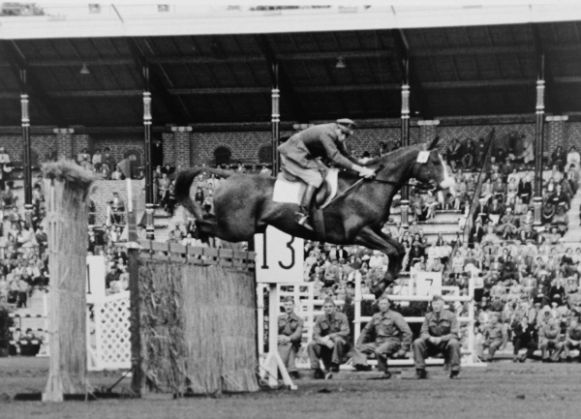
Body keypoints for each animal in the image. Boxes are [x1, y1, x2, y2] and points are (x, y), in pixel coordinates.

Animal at [174, 137, 456, 296]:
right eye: (434, 162)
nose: (450, 187)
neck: (370, 186)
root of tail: (230, 175)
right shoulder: (359, 233)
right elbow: (394, 250)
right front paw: (378, 286)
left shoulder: (375, 230)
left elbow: (398, 249)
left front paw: (380, 286)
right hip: (235, 228)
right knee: (202, 224)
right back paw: (203, 248)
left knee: (204, 224)